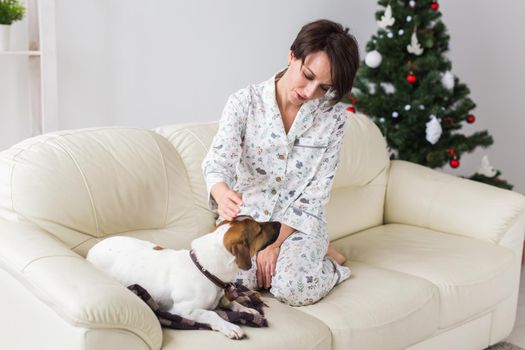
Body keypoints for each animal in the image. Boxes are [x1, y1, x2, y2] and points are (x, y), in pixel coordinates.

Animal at [87, 216, 278, 340]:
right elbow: (211, 314)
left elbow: (232, 303)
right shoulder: (183, 311)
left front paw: (247, 309)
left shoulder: (221, 298)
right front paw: (229, 326)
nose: (278, 223)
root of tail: (91, 250)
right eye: (259, 230)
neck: (204, 269)